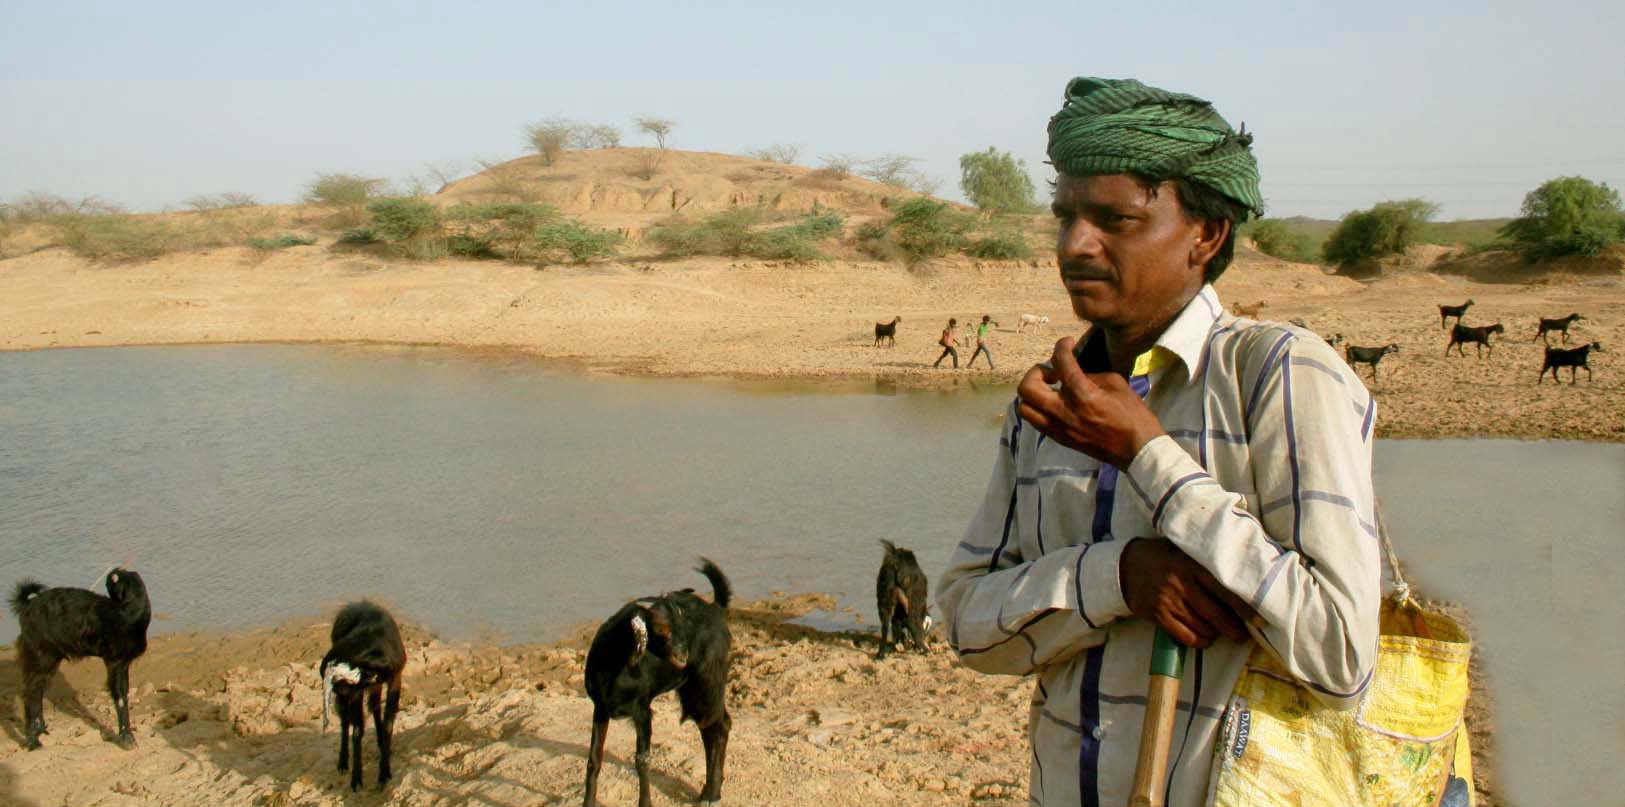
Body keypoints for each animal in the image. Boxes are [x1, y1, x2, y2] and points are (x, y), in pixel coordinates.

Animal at [11, 565, 152, 750]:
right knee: (30, 692)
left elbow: (124, 694)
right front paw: (127, 739)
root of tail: (26, 605)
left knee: (38, 691)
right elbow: (120, 697)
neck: (129, 615)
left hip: (49, 659)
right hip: (39, 655)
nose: (108, 578)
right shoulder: (115, 661)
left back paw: (42, 731)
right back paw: (33, 742)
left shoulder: (124, 663)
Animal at [318, 600, 404, 789]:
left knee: (373, 707)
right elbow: (357, 730)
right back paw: (343, 763)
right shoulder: (355, 692)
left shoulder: (395, 679)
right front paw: (356, 780)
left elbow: (387, 724)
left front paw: (384, 774)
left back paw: (379, 742)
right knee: (346, 721)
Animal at [588, 555, 734, 805]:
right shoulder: (600, 707)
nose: (683, 657)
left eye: (681, 624)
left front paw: (645, 803)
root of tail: (716, 608)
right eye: (660, 629)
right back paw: (707, 791)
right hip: (692, 690)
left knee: (720, 725)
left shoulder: (642, 710)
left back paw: (712, 794)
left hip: (707, 683)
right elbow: (594, 760)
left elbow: (642, 761)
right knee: (708, 728)